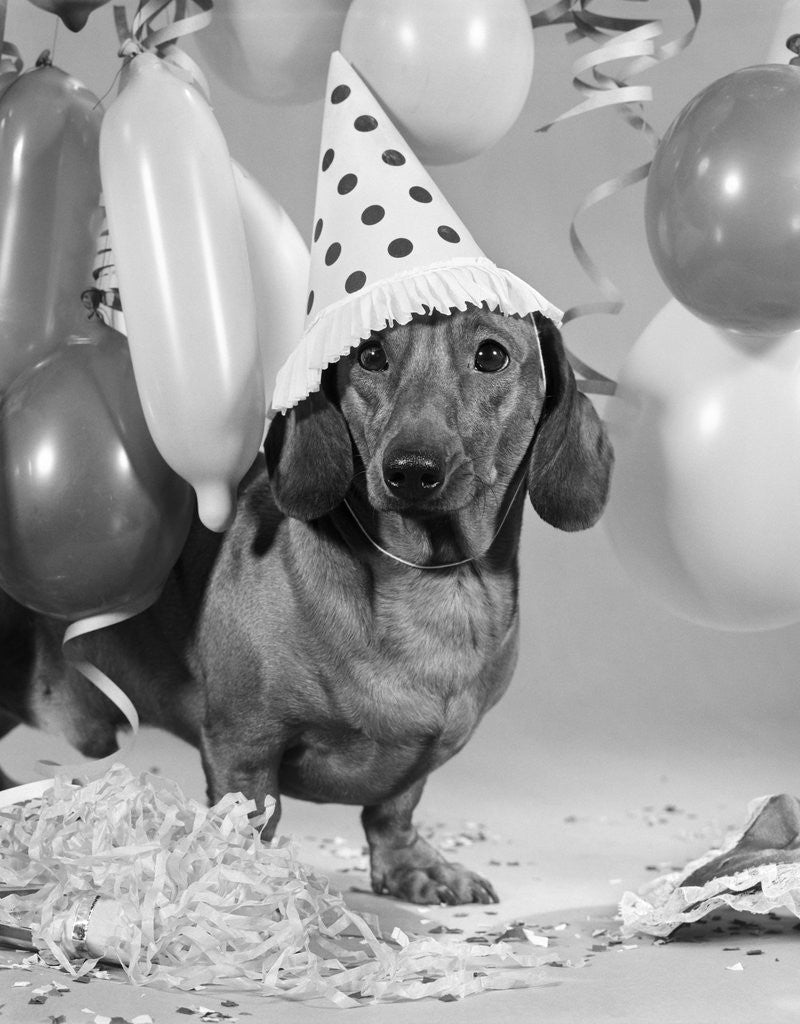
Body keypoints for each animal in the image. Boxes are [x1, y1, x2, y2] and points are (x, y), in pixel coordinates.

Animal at [0, 307, 610, 909]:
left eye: (491, 355)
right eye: (371, 355)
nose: (411, 470)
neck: (433, 585)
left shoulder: (415, 763)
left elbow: (394, 808)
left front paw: (411, 866)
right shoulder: (244, 745)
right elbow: (252, 821)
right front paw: (255, 890)